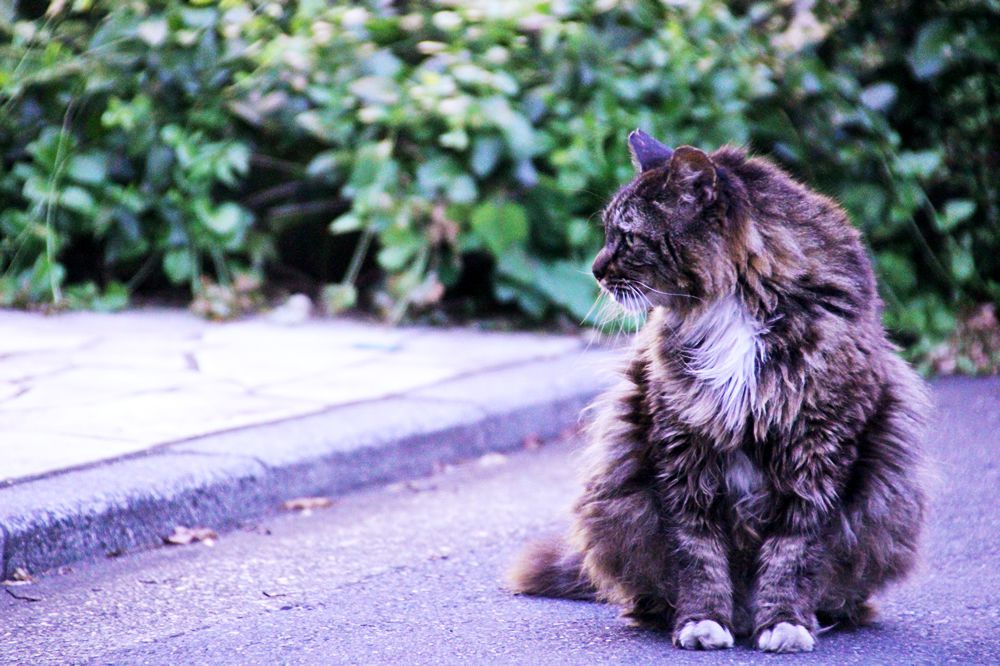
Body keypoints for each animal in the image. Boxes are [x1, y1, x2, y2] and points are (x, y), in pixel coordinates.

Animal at [508, 128, 928, 648]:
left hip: (883, 505)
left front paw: (785, 623)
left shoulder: (818, 452)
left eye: (627, 237)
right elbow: (697, 550)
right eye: (607, 233)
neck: (735, 306)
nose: (596, 270)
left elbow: (793, 552)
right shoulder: (681, 444)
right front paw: (702, 621)